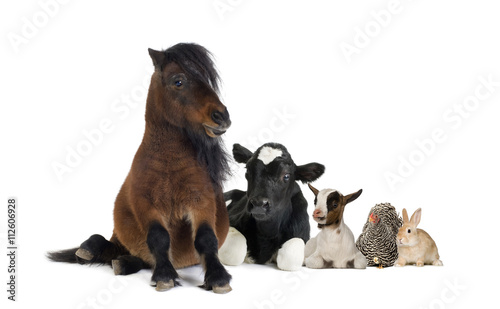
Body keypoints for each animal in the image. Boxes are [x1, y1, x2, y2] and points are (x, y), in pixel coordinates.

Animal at [48, 42, 232, 292]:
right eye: (178, 81)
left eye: (208, 80)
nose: (222, 117)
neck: (169, 164)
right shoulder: (144, 203)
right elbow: (158, 237)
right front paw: (165, 275)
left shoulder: (201, 203)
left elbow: (206, 238)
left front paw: (218, 277)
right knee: (109, 243)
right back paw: (88, 249)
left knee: (130, 257)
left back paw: (123, 263)